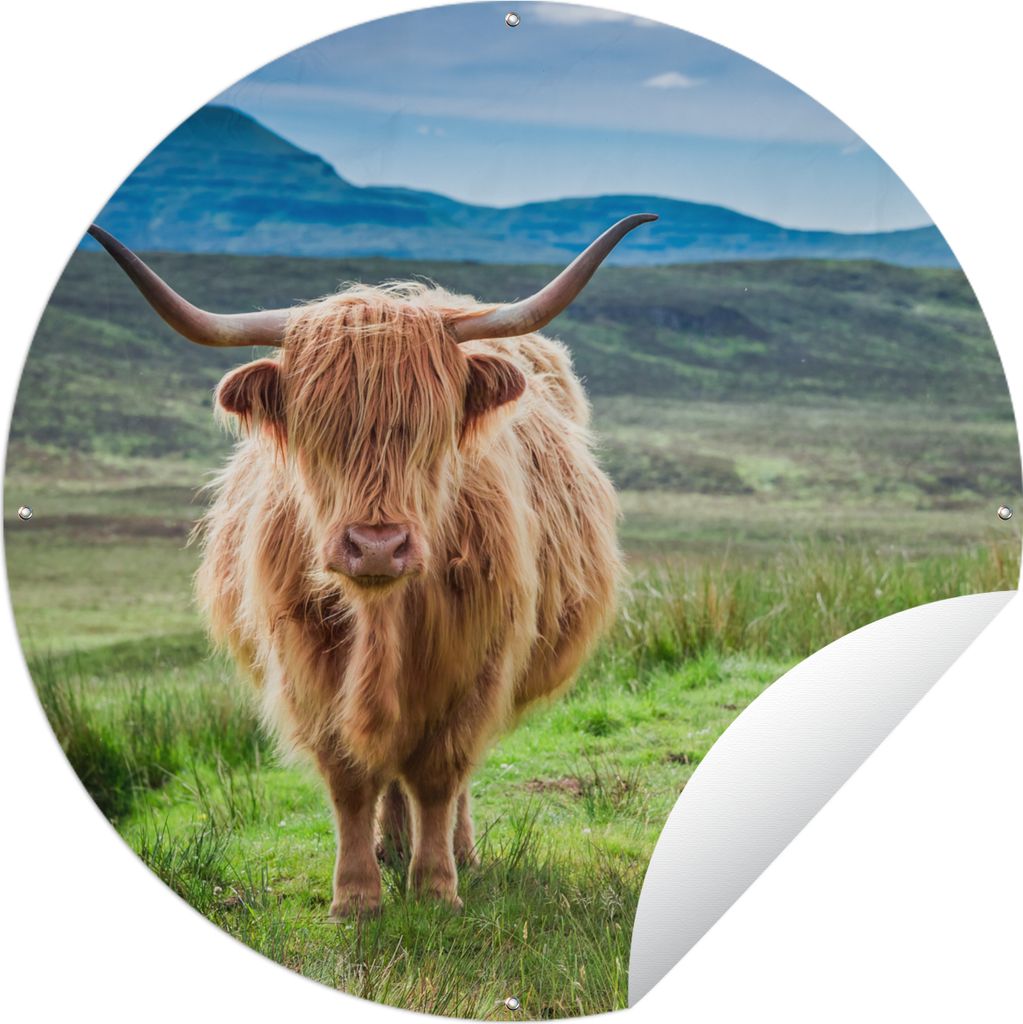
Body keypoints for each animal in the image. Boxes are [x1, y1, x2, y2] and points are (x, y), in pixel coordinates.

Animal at [89, 214, 656, 916]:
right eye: (317, 430)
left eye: (431, 429)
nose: (378, 546)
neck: (382, 615)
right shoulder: (307, 664)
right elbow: (351, 776)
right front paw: (357, 895)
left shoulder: (476, 660)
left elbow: (440, 774)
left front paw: (437, 887)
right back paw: (392, 844)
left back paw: (456, 850)